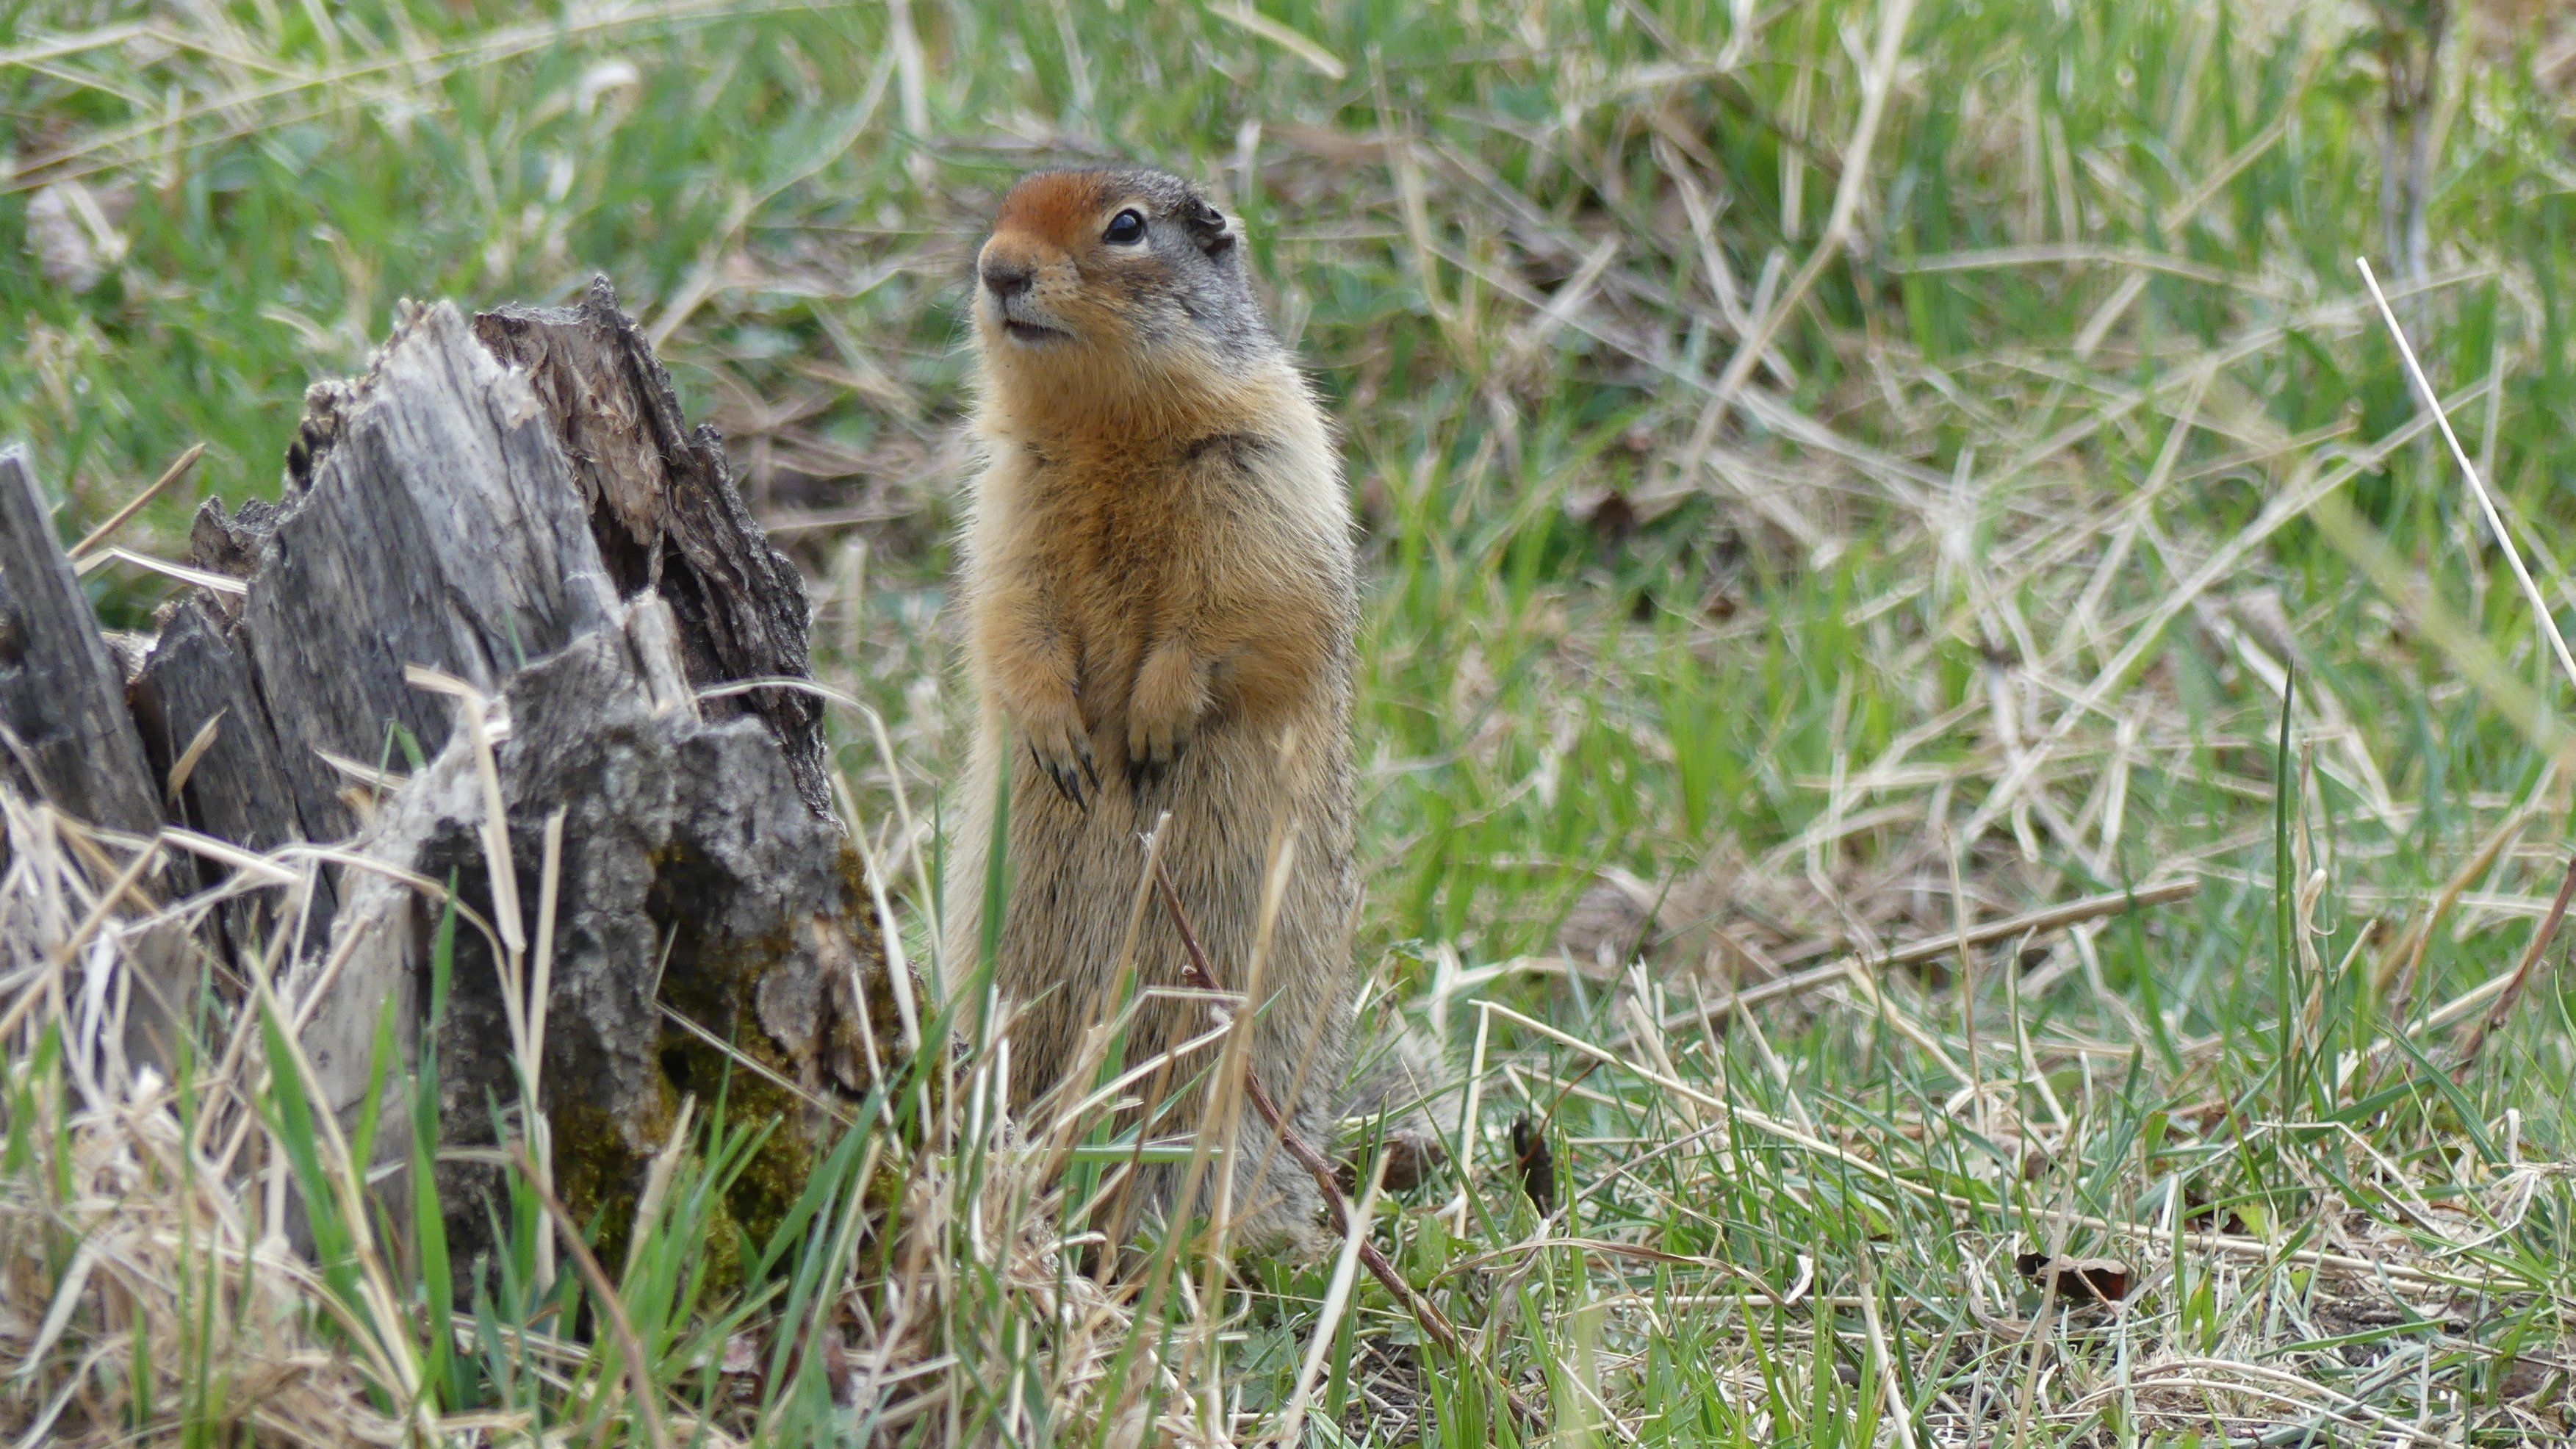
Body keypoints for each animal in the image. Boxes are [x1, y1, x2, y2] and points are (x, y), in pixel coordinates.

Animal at [938, 166, 1360, 1243]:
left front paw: (1153, 724)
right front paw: (1056, 733)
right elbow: (1008, 611)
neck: (1105, 428)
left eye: (1125, 227)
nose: (997, 269)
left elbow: (1237, 610)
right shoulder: (1009, 495)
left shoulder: (1264, 463)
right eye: (1004, 207)